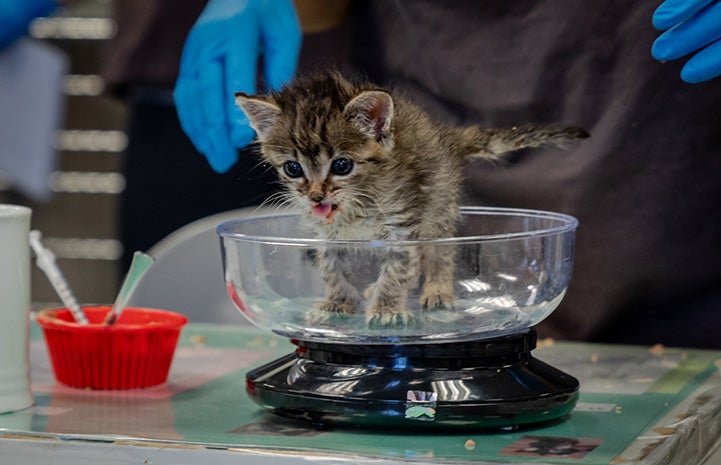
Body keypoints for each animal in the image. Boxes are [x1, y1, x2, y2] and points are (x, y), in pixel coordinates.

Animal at [236, 71, 584, 326]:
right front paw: (337, 302)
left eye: (342, 165)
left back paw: (437, 289)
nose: (315, 196)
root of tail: (443, 136)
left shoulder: (403, 225)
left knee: (440, 253)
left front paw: (387, 309)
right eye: (293, 168)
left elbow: (399, 270)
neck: (356, 205)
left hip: (439, 205)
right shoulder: (327, 236)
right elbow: (331, 268)